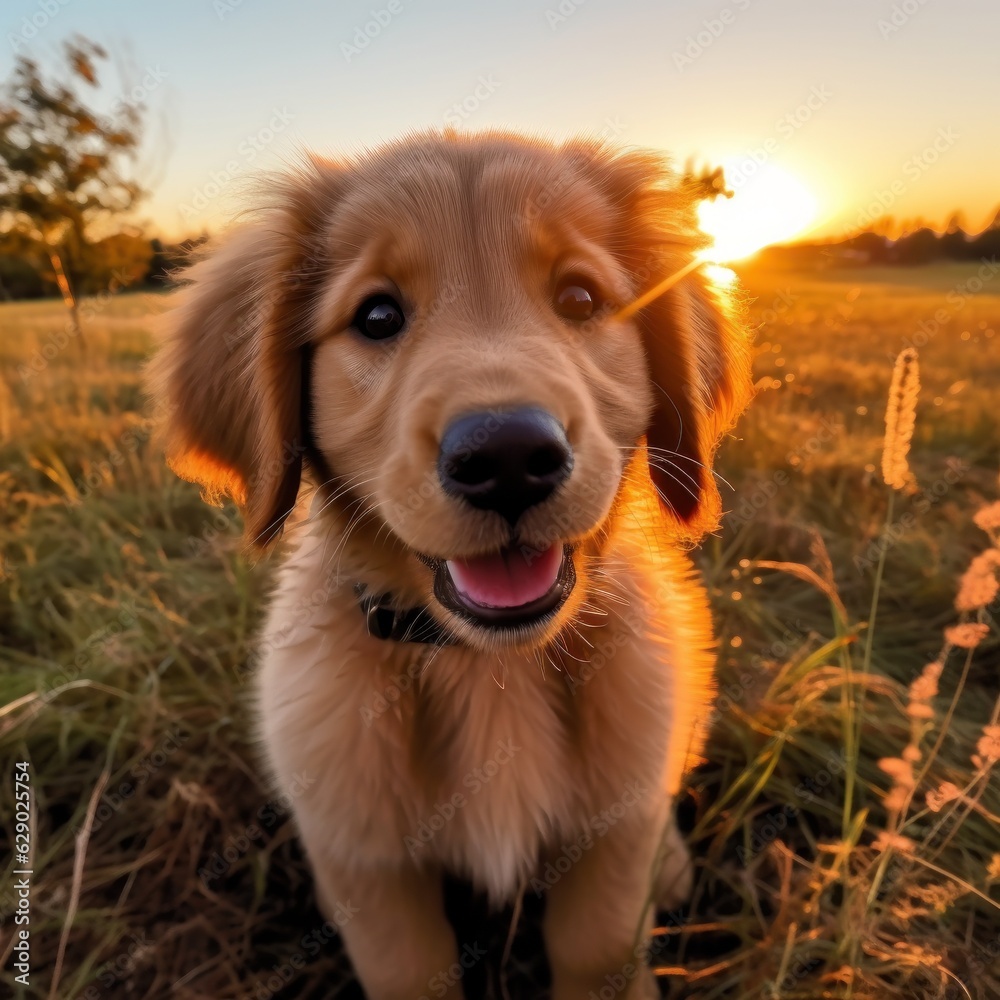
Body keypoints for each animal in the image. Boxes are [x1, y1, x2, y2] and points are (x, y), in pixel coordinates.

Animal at [150, 135, 752, 1000]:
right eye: (376, 317)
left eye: (579, 298)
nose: (508, 458)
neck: (486, 669)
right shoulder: (366, 864)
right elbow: (411, 972)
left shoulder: (607, 848)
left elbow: (599, 948)